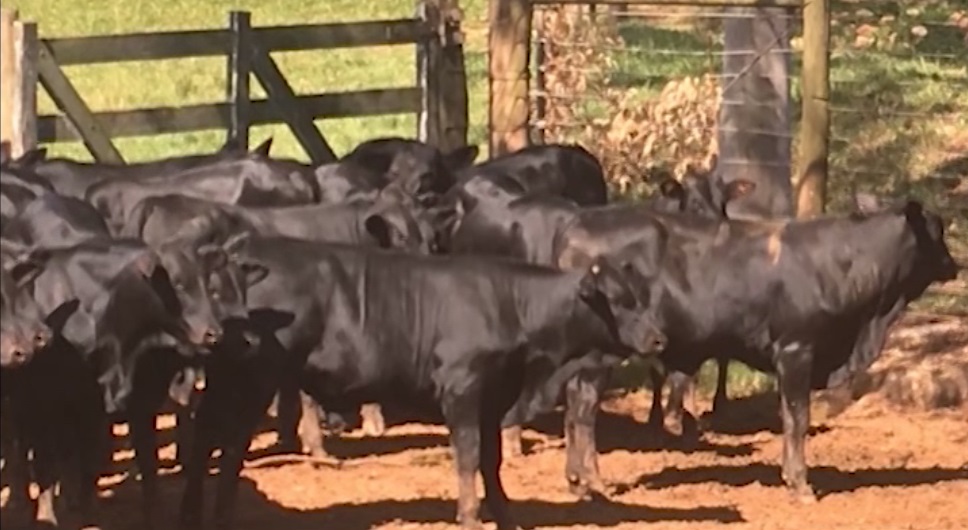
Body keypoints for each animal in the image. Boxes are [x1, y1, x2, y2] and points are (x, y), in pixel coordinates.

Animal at [180, 238, 664, 528]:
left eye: (645, 297)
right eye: (619, 301)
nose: (659, 338)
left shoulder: (495, 397)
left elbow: (491, 462)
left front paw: (504, 516)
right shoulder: (462, 390)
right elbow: (468, 458)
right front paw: (469, 516)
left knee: (216, 440)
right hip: (249, 380)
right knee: (220, 441)